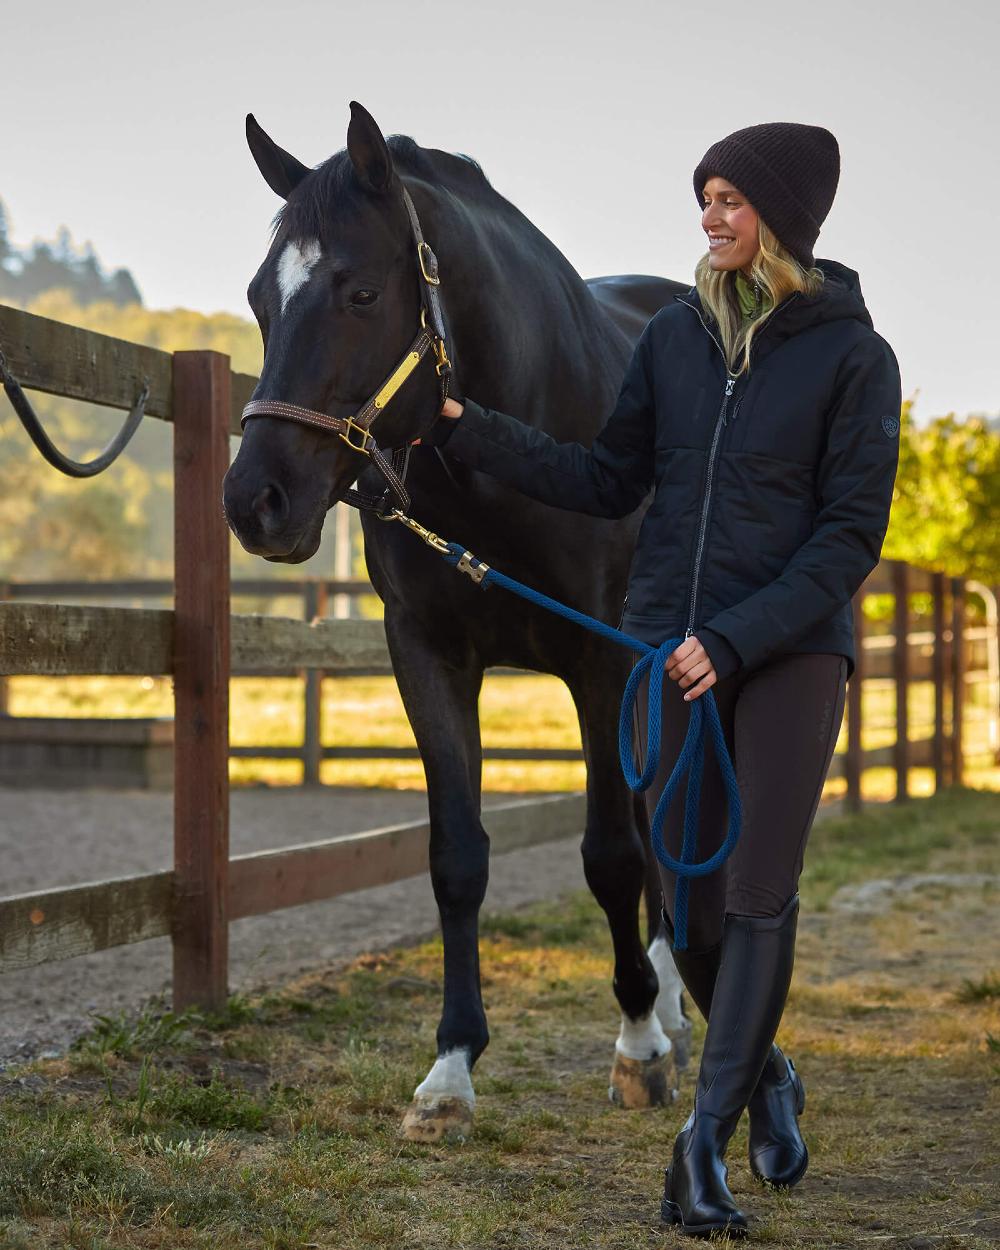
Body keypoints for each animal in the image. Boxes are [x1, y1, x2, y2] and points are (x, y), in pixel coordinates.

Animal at [225, 102, 690, 1145]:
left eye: (360, 291)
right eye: (259, 300)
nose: (254, 502)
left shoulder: (600, 666)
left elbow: (610, 855)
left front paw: (638, 1044)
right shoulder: (429, 658)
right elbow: (456, 859)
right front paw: (449, 1071)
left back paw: (673, 1002)